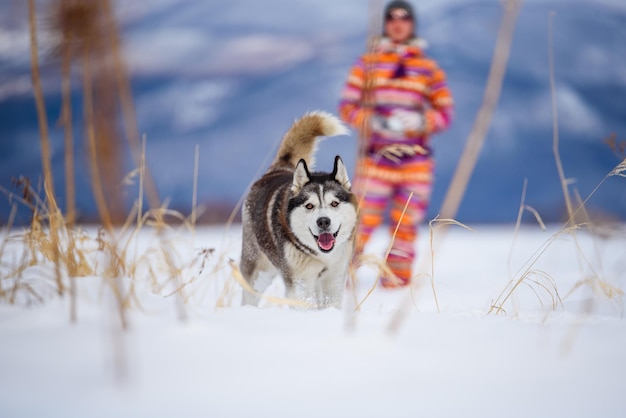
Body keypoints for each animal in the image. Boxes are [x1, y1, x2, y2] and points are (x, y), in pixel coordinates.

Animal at [239, 111, 356, 310]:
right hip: (259, 269)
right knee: (250, 293)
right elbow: (302, 304)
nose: (323, 221)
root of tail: (277, 170)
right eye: (309, 205)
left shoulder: (334, 278)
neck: (322, 257)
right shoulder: (300, 282)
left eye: (334, 203)